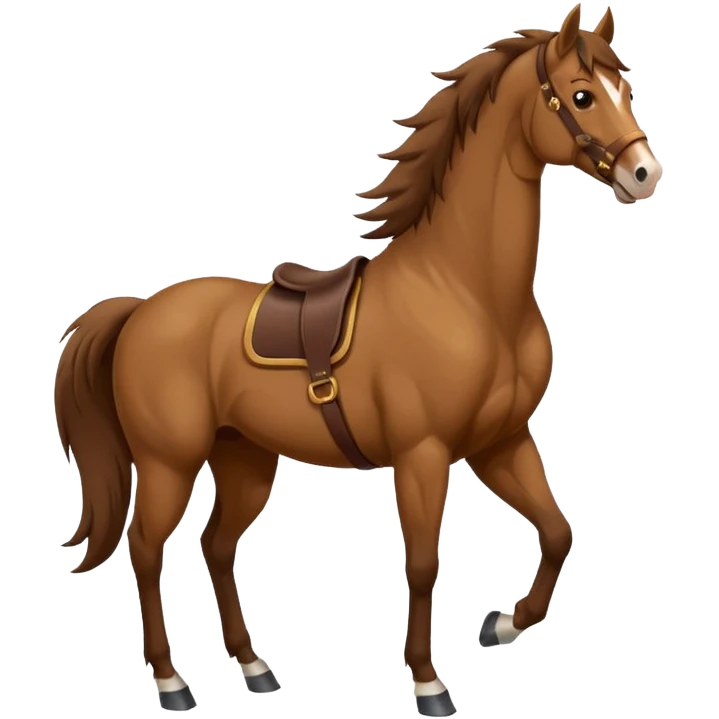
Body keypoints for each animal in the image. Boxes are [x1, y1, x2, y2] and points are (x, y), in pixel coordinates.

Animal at [54, 4, 661, 716]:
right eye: (582, 95)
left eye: (627, 89)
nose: (644, 174)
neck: (465, 291)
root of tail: (140, 312)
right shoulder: (424, 455)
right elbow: (423, 563)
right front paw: (428, 682)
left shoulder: (501, 442)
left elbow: (558, 530)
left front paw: (504, 623)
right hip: (167, 463)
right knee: (146, 551)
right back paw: (173, 681)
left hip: (244, 459)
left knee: (216, 546)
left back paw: (254, 667)